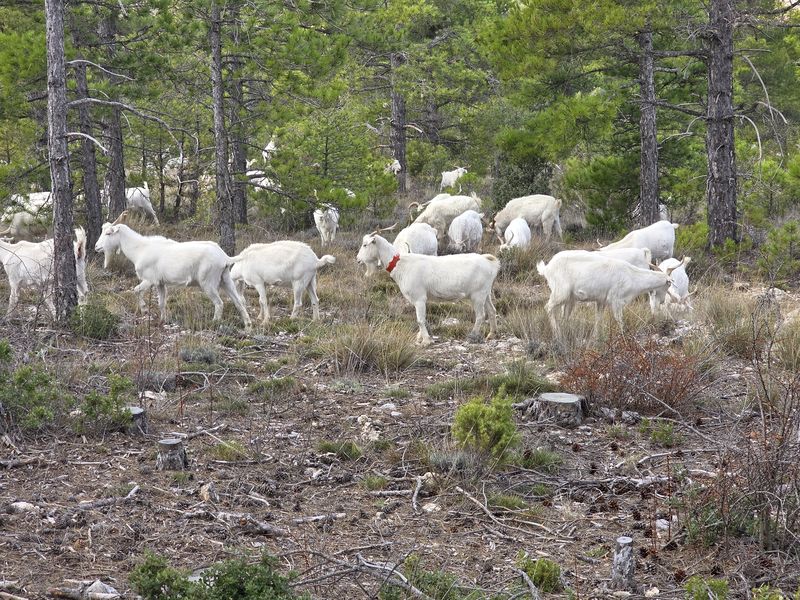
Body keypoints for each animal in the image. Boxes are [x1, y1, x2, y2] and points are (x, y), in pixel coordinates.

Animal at [94, 214, 251, 330]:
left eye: (108, 233)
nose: (96, 247)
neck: (140, 249)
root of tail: (224, 257)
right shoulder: (160, 283)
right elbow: (161, 302)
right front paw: (163, 320)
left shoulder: (150, 280)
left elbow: (136, 290)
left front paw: (144, 310)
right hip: (225, 279)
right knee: (239, 302)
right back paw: (248, 326)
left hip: (208, 282)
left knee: (219, 303)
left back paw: (214, 323)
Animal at [356, 232, 500, 345]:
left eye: (365, 245)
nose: (358, 260)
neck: (401, 264)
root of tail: (490, 262)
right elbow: (423, 319)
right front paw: (420, 338)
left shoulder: (419, 298)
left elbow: (420, 320)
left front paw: (426, 340)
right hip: (485, 293)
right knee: (492, 310)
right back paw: (491, 334)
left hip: (477, 294)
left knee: (481, 315)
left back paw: (472, 336)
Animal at [536, 251, 686, 339]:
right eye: (668, 284)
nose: (661, 301)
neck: (631, 277)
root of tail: (546, 268)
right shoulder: (616, 300)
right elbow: (619, 320)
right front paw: (623, 337)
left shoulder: (601, 301)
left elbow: (598, 318)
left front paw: (595, 338)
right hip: (560, 292)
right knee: (548, 307)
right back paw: (557, 334)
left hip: (570, 299)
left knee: (564, 315)